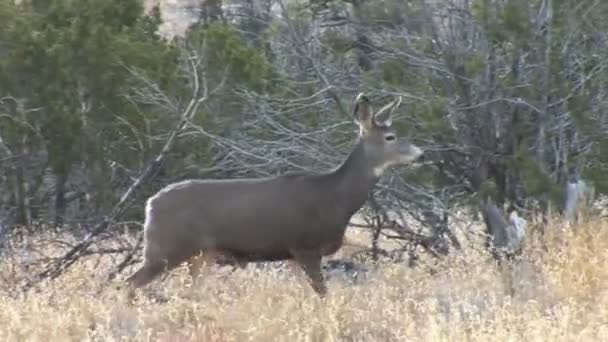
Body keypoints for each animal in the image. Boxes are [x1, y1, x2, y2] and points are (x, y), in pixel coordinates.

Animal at [124, 92, 422, 298]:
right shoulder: (305, 245)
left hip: (200, 255)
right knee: (130, 282)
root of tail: (150, 204)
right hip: (166, 247)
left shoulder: (292, 255)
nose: (420, 154)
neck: (337, 199)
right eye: (391, 137)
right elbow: (322, 295)